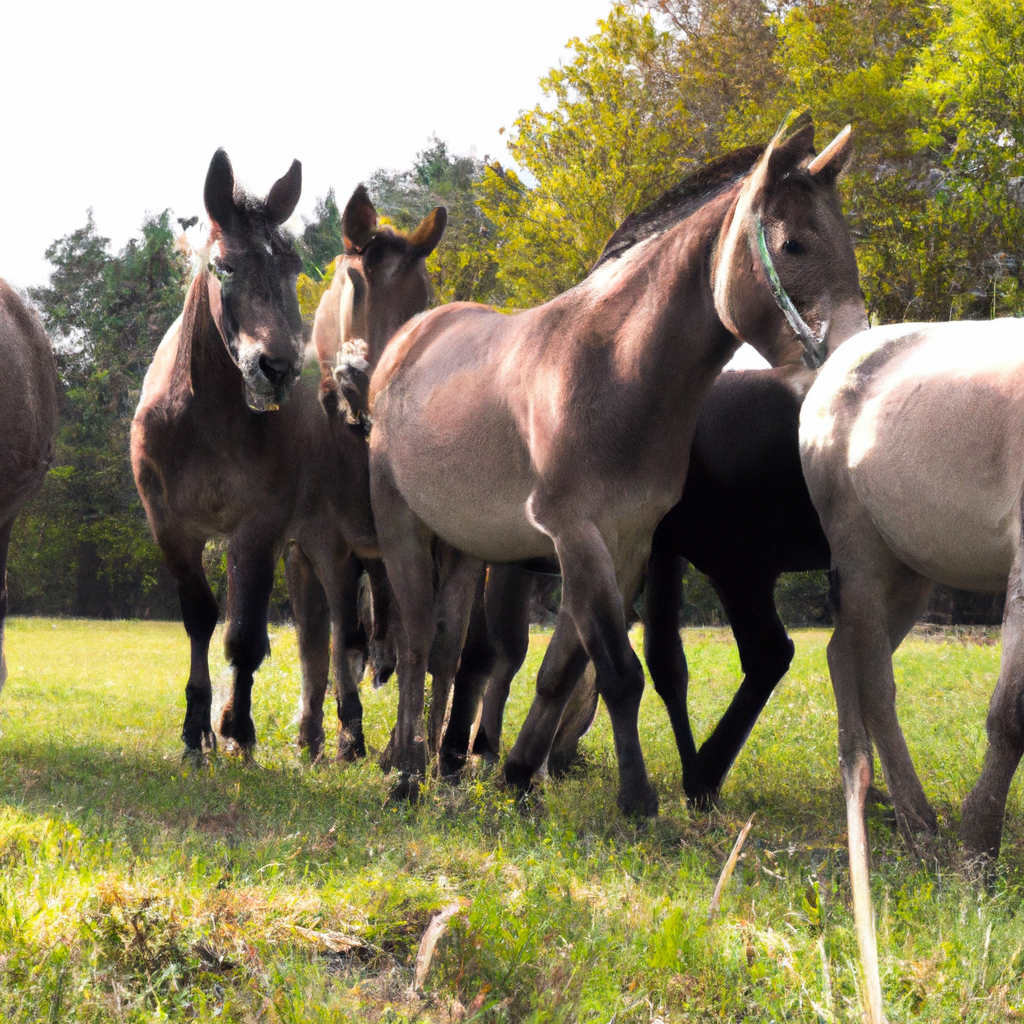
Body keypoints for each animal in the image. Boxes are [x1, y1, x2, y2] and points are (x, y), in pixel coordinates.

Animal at [131, 151, 380, 761]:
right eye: (224, 268)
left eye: (292, 268)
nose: (278, 367)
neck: (204, 421)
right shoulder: (172, 530)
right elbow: (201, 619)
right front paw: (196, 729)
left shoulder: (258, 530)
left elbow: (244, 638)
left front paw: (237, 729)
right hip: (309, 546)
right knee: (327, 632)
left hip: (331, 543)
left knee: (342, 629)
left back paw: (349, 732)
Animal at [360, 116, 864, 811]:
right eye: (792, 245)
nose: (857, 355)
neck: (615, 370)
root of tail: (410, 340)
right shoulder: (577, 536)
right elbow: (618, 671)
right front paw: (638, 799)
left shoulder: (629, 545)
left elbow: (571, 668)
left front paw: (524, 778)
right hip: (402, 525)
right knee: (412, 643)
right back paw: (408, 774)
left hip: (465, 546)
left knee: (446, 646)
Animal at [798, 315, 1024, 1019]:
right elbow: (1011, 715)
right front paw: (977, 859)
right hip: (863, 555)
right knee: (872, 676)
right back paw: (917, 827)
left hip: (911, 569)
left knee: (843, 655)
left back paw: (871, 790)